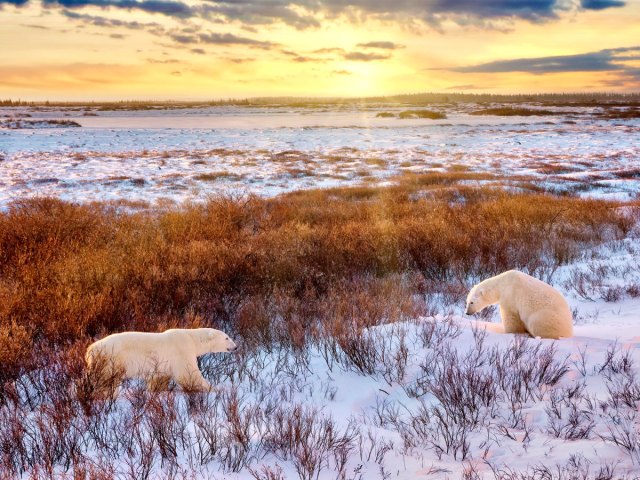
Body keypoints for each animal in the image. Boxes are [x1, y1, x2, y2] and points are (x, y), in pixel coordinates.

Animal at [84, 328, 236, 396]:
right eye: (227, 338)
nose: (235, 347)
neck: (191, 338)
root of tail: (90, 349)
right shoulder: (182, 350)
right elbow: (189, 374)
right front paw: (215, 389)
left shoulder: (163, 364)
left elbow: (159, 377)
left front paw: (157, 391)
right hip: (111, 359)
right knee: (107, 380)